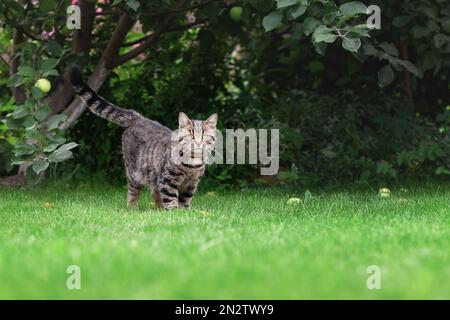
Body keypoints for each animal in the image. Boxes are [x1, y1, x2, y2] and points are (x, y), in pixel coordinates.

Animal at [68, 65, 218, 210]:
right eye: (191, 135)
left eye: (204, 135)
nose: (198, 143)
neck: (192, 165)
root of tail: (138, 117)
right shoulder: (167, 180)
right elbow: (171, 199)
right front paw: (173, 212)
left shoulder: (191, 185)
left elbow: (185, 201)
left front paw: (184, 212)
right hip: (134, 173)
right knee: (133, 192)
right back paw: (133, 207)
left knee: (154, 192)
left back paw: (158, 209)